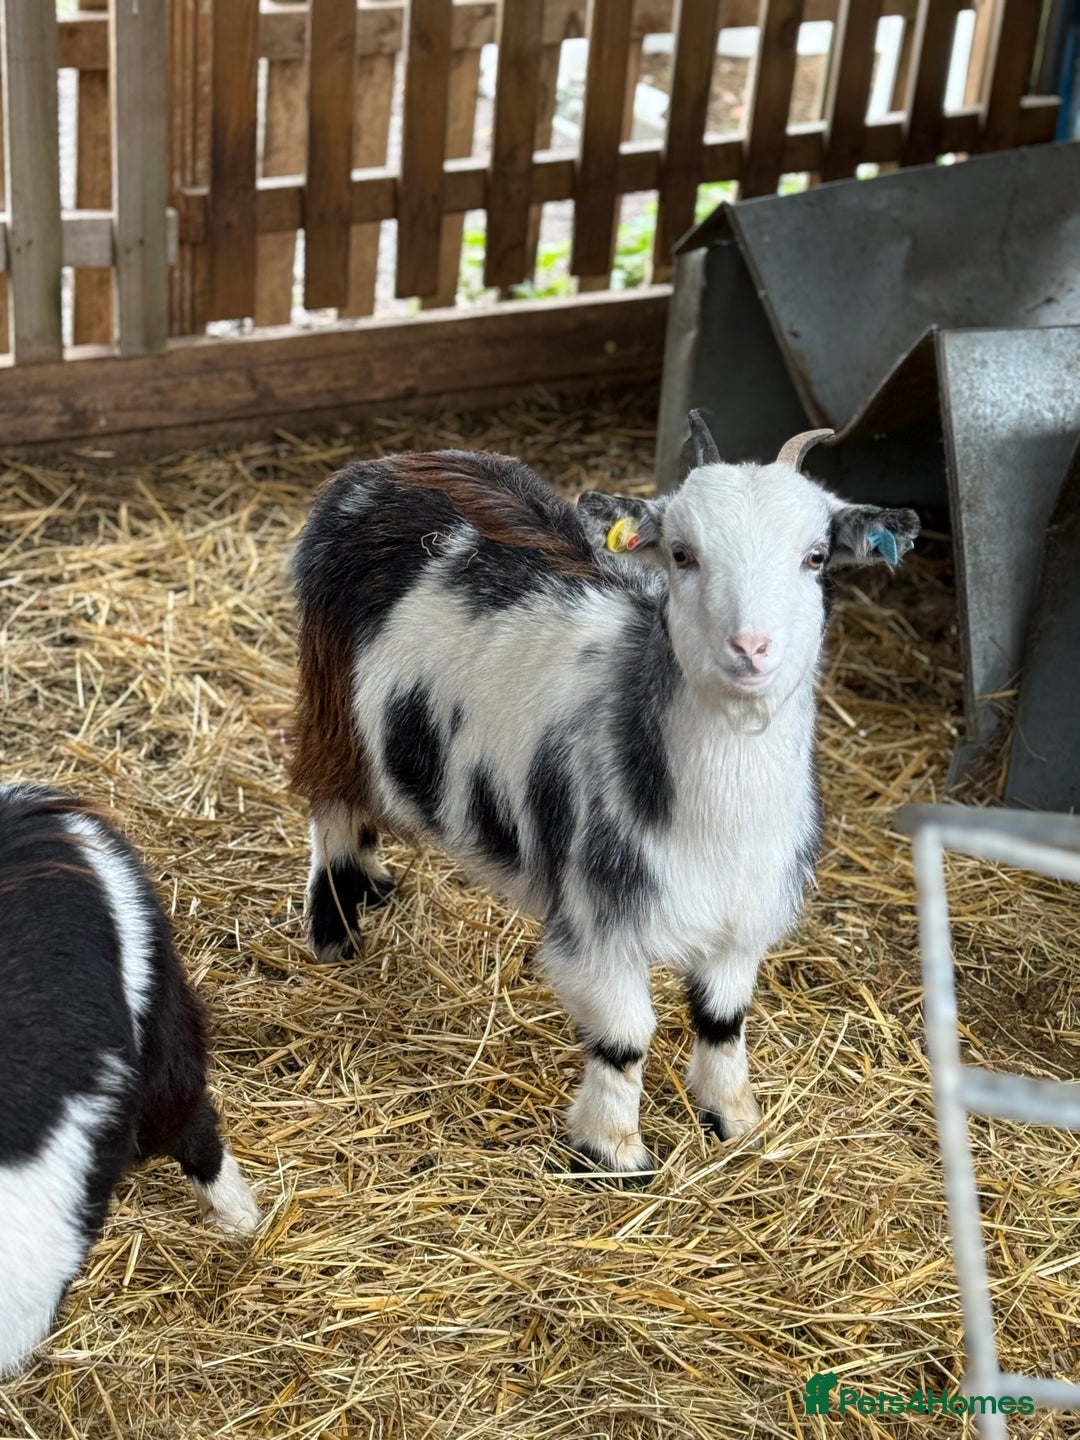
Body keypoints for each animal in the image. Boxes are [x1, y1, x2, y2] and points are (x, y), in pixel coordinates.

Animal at [290, 415, 919, 1174]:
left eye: (816, 557)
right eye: (681, 554)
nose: (751, 647)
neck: (720, 822)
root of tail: (380, 467)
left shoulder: (744, 916)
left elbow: (722, 1019)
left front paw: (733, 1119)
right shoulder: (599, 921)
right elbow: (624, 1038)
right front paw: (613, 1152)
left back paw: (376, 882)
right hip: (328, 690)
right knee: (330, 803)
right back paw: (334, 926)